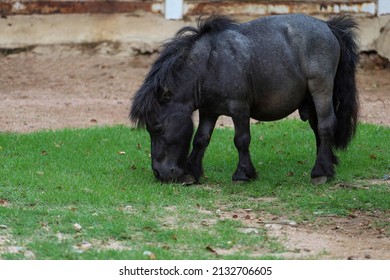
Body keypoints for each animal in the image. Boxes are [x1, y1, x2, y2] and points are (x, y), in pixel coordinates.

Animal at [129, 14, 358, 186]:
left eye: (157, 128)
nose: (159, 173)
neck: (209, 64)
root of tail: (328, 26)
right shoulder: (209, 111)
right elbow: (201, 139)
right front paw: (192, 172)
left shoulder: (239, 108)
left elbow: (241, 140)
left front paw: (243, 174)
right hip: (310, 99)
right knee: (317, 127)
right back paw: (329, 163)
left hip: (321, 90)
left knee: (326, 126)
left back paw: (321, 172)